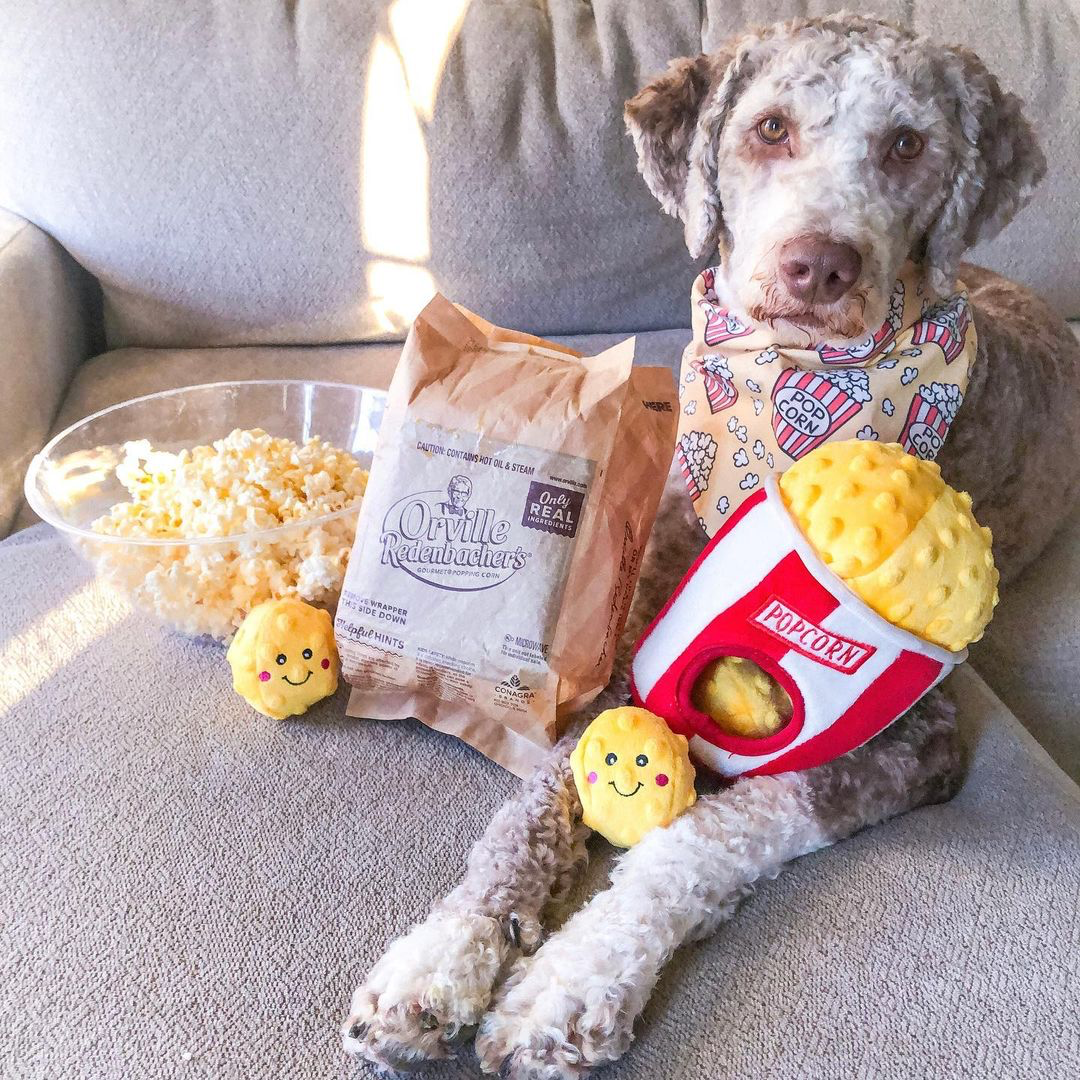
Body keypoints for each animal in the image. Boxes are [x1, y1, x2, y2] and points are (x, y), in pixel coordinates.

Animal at [343, 12, 1080, 1075]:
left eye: (908, 145)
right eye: (770, 129)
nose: (820, 264)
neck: (791, 391)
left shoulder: (914, 742)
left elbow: (702, 837)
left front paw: (566, 988)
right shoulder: (630, 650)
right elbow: (525, 815)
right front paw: (438, 960)